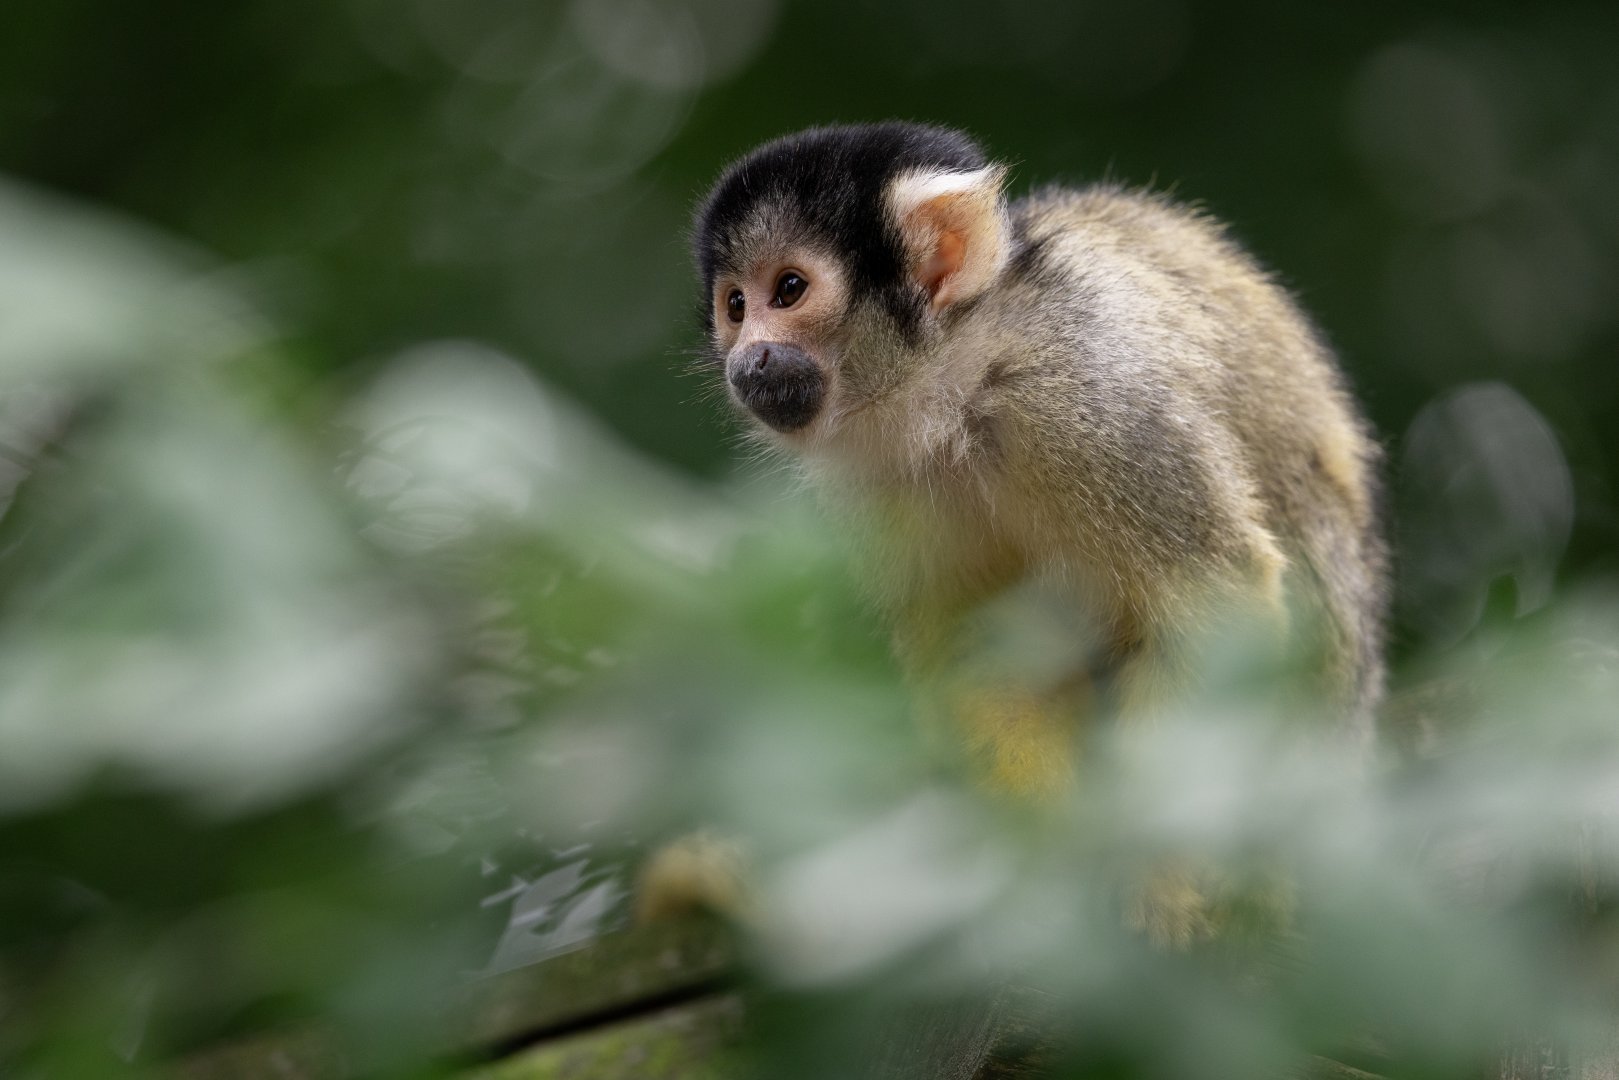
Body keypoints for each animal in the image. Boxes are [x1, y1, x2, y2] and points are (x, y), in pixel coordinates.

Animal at [648, 121, 1387, 942]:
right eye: (735, 305)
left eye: (788, 290)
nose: (748, 358)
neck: (960, 389)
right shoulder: (877, 484)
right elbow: (982, 650)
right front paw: (1044, 856)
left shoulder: (1084, 399)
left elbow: (1213, 602)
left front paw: (1160, 871)